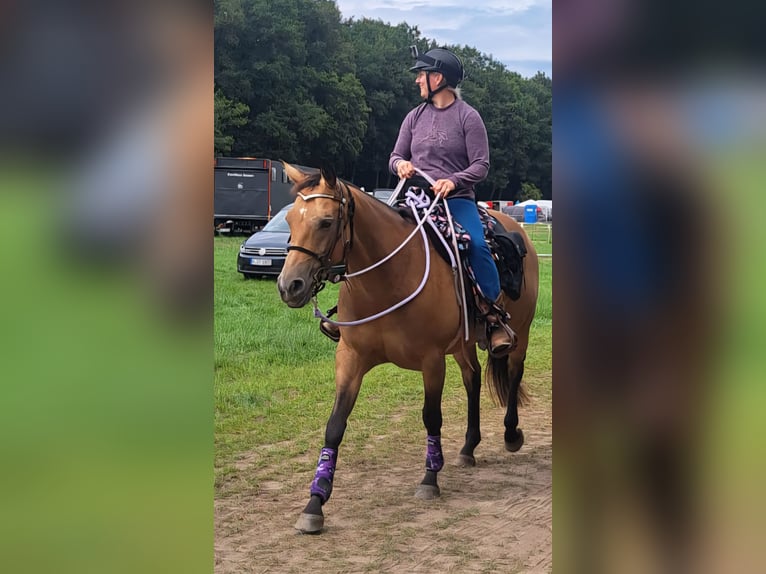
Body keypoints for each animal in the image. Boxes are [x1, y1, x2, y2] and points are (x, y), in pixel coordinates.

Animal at [276, 162, 539, 533]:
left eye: (326, 221)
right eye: (289, 220)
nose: (289, 286)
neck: (387, 280)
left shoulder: (431, 361)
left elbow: (431, 417)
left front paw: (430, 478)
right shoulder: (350, 358)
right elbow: (335, 425)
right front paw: (315, 502)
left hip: (520, 332)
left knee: (514, 374)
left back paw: (511, 433)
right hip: (463, 344)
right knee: (472, 380)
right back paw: (468, 446)